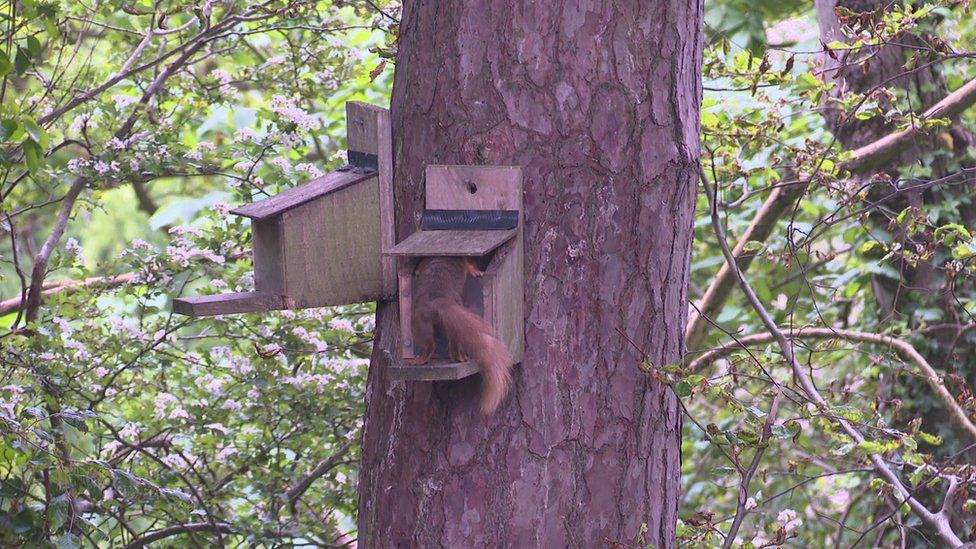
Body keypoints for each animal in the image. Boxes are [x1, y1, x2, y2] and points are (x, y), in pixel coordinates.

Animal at [405, 256, 512, 413]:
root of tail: (438, 299)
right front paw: (477, 271)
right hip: (436, 323)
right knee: (447, 343)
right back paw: (457, 357)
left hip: (419, 321)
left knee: (431, 344)